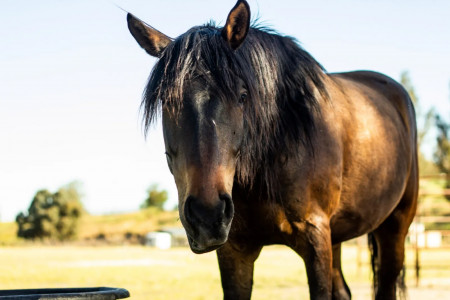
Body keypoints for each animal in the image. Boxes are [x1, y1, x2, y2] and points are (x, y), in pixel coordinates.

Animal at [125, 1, 418, 298]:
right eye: (166, 101)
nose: (207, 215)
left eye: (243, 96)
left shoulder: (315, 240)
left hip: (394, 228)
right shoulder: (236, 251)